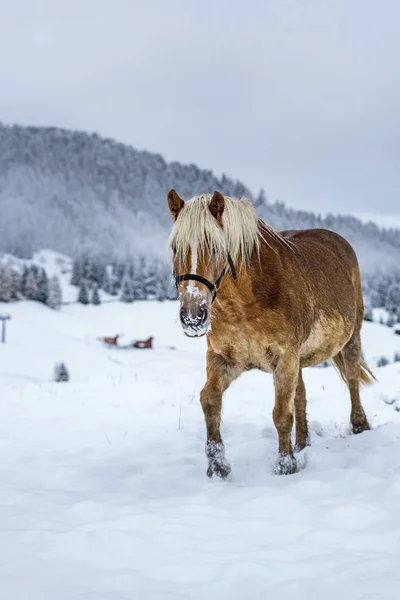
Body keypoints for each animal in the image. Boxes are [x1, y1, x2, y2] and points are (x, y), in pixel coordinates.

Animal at [167, 188, 374, 478]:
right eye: (176, 247)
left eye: (216, 247)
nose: (193, 316)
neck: (244, 306)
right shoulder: (224, 359)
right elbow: (209, 400)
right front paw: (218, 465)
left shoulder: (284, 359)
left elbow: (281, 415)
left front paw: (285, 465)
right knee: (301, 396)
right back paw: (302, 443)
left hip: (351, 338)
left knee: (352, 379)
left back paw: (359, 426)